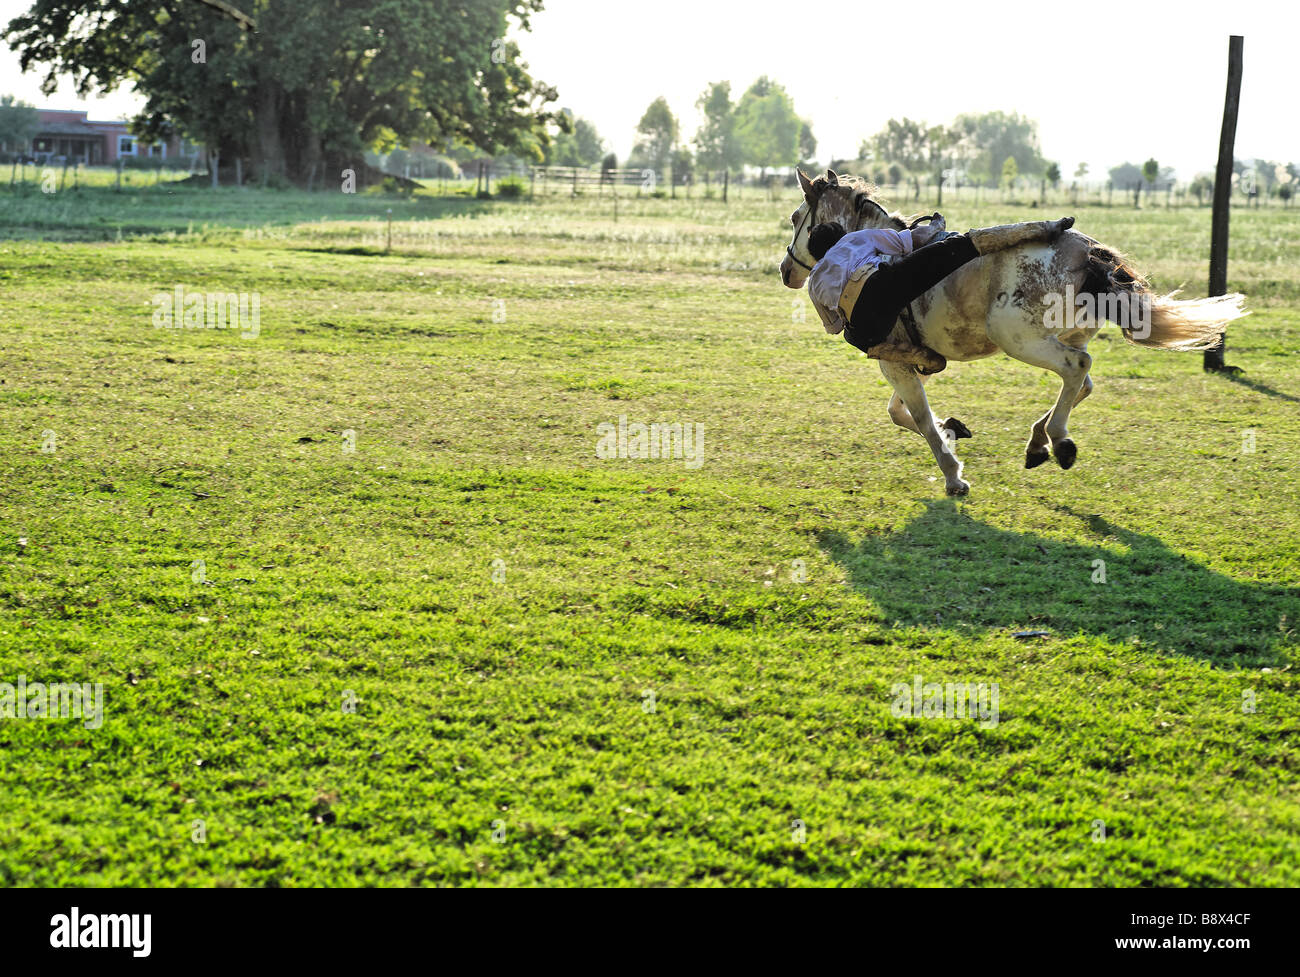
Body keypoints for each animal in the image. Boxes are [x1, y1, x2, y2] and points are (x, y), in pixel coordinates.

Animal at [780, 167, 1248, 496]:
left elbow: (918, 418)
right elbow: (904, 413)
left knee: (1077, 368)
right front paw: (954, 431)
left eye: (796, 217)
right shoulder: (905, 364)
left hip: (1017, 338)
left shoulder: (893, 364)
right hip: (1060, 336)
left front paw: (953, 475)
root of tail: (1089, 254)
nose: (786, 270)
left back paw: (1058, 442)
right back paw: (1039, 442)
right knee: (1083, 382)